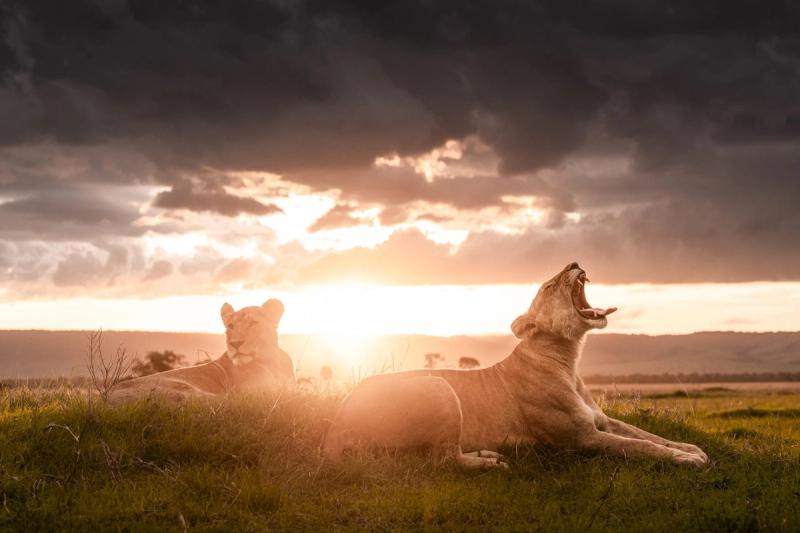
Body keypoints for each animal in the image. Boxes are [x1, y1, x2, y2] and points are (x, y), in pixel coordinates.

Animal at [108, 298, 295, 403]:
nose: (235, 343)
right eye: (231, 326)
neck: (273, 362)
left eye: (253, 323)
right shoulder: (257, 391)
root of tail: (104, 398)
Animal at [321, 263, 708, 469]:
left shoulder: (602, 421)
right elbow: (638, 447)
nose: (574, 263)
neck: (568, 359)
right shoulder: (580, 438)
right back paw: (490, 463)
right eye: (550, 286)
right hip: (437, 385)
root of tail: (337, 419)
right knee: (443, 459)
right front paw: (687, 460)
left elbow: (648, 435)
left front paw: (690, 448)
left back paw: (487, 452)